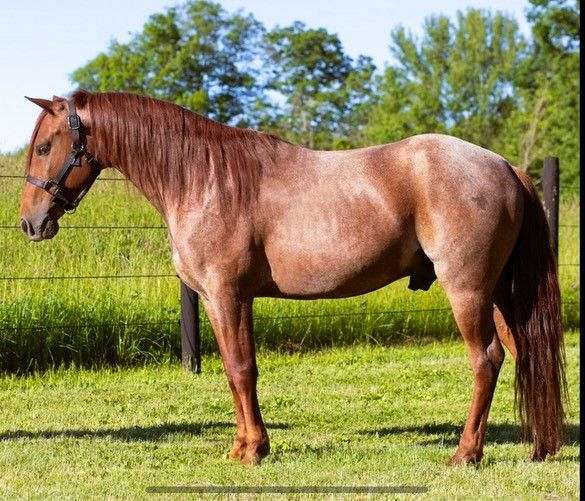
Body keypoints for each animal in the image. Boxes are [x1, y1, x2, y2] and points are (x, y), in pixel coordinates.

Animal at [20, 90, 564, 464]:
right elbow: (234, 371)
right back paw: (540, 445)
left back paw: (465, 453)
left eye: (45, 146)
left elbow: (242, 370)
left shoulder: (227, 296)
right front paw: (244, 445)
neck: (204, 179)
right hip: (499, 292)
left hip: (468, 290)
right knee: (523, 352)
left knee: (486, 359)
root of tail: (504, 165)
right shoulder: (223, 301)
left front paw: (253, 451)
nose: (30, 223)